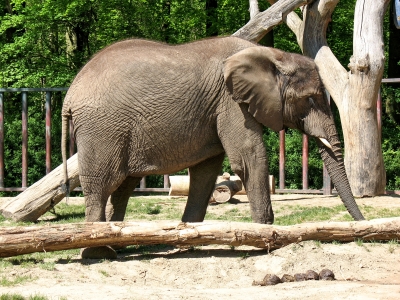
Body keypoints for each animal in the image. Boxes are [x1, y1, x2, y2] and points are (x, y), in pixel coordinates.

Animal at [61, 37, 364, 258]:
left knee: (123, 187)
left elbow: (206, 172)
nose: (361, 226)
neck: (272, 55)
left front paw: (187, 240)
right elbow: (248, 158)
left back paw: (117, 244)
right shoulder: (231, 103)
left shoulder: (219, 107)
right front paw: (267, 236)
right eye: (310, 99)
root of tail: (70, 93)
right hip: (102, 130)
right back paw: (98, 253)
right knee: (101, 185)